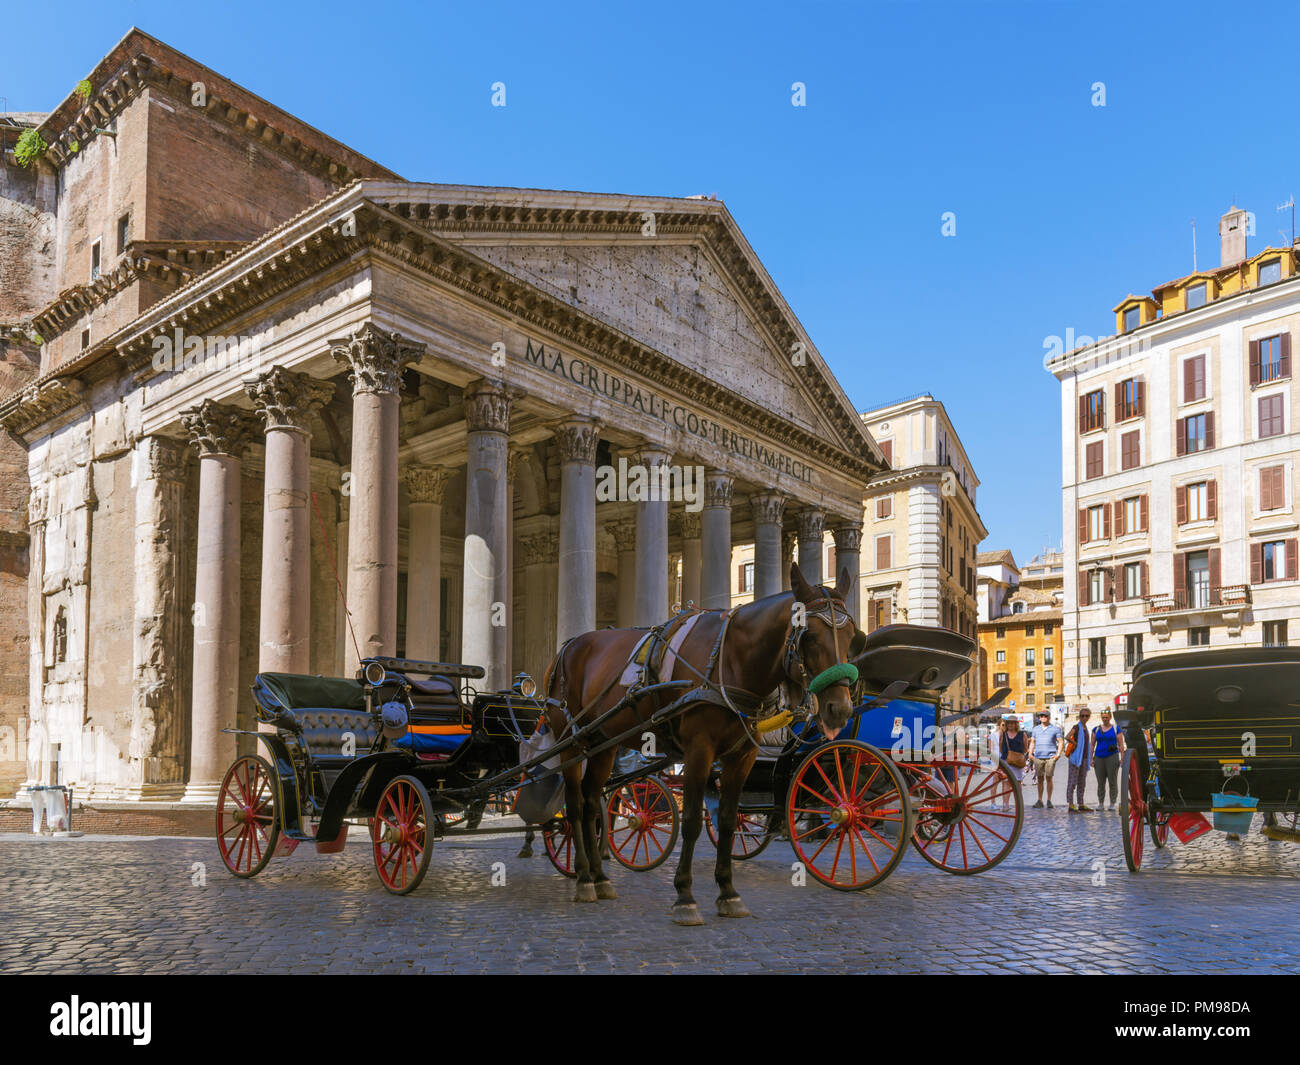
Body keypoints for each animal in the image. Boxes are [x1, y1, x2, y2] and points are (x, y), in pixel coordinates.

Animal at [538, 561, 863, 920]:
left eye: (853, 637)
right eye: (811, 636)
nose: (840, 709)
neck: (731, 660)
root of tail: (568, 647)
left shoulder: (743, 755)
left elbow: (728, 821)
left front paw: (728, 892)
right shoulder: (699, 749)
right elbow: (692, 820)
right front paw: (685, 896)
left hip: (603, 743)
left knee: (593, 803)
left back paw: (599, 877)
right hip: (571, 741)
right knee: (576, 804)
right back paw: (583, 878)